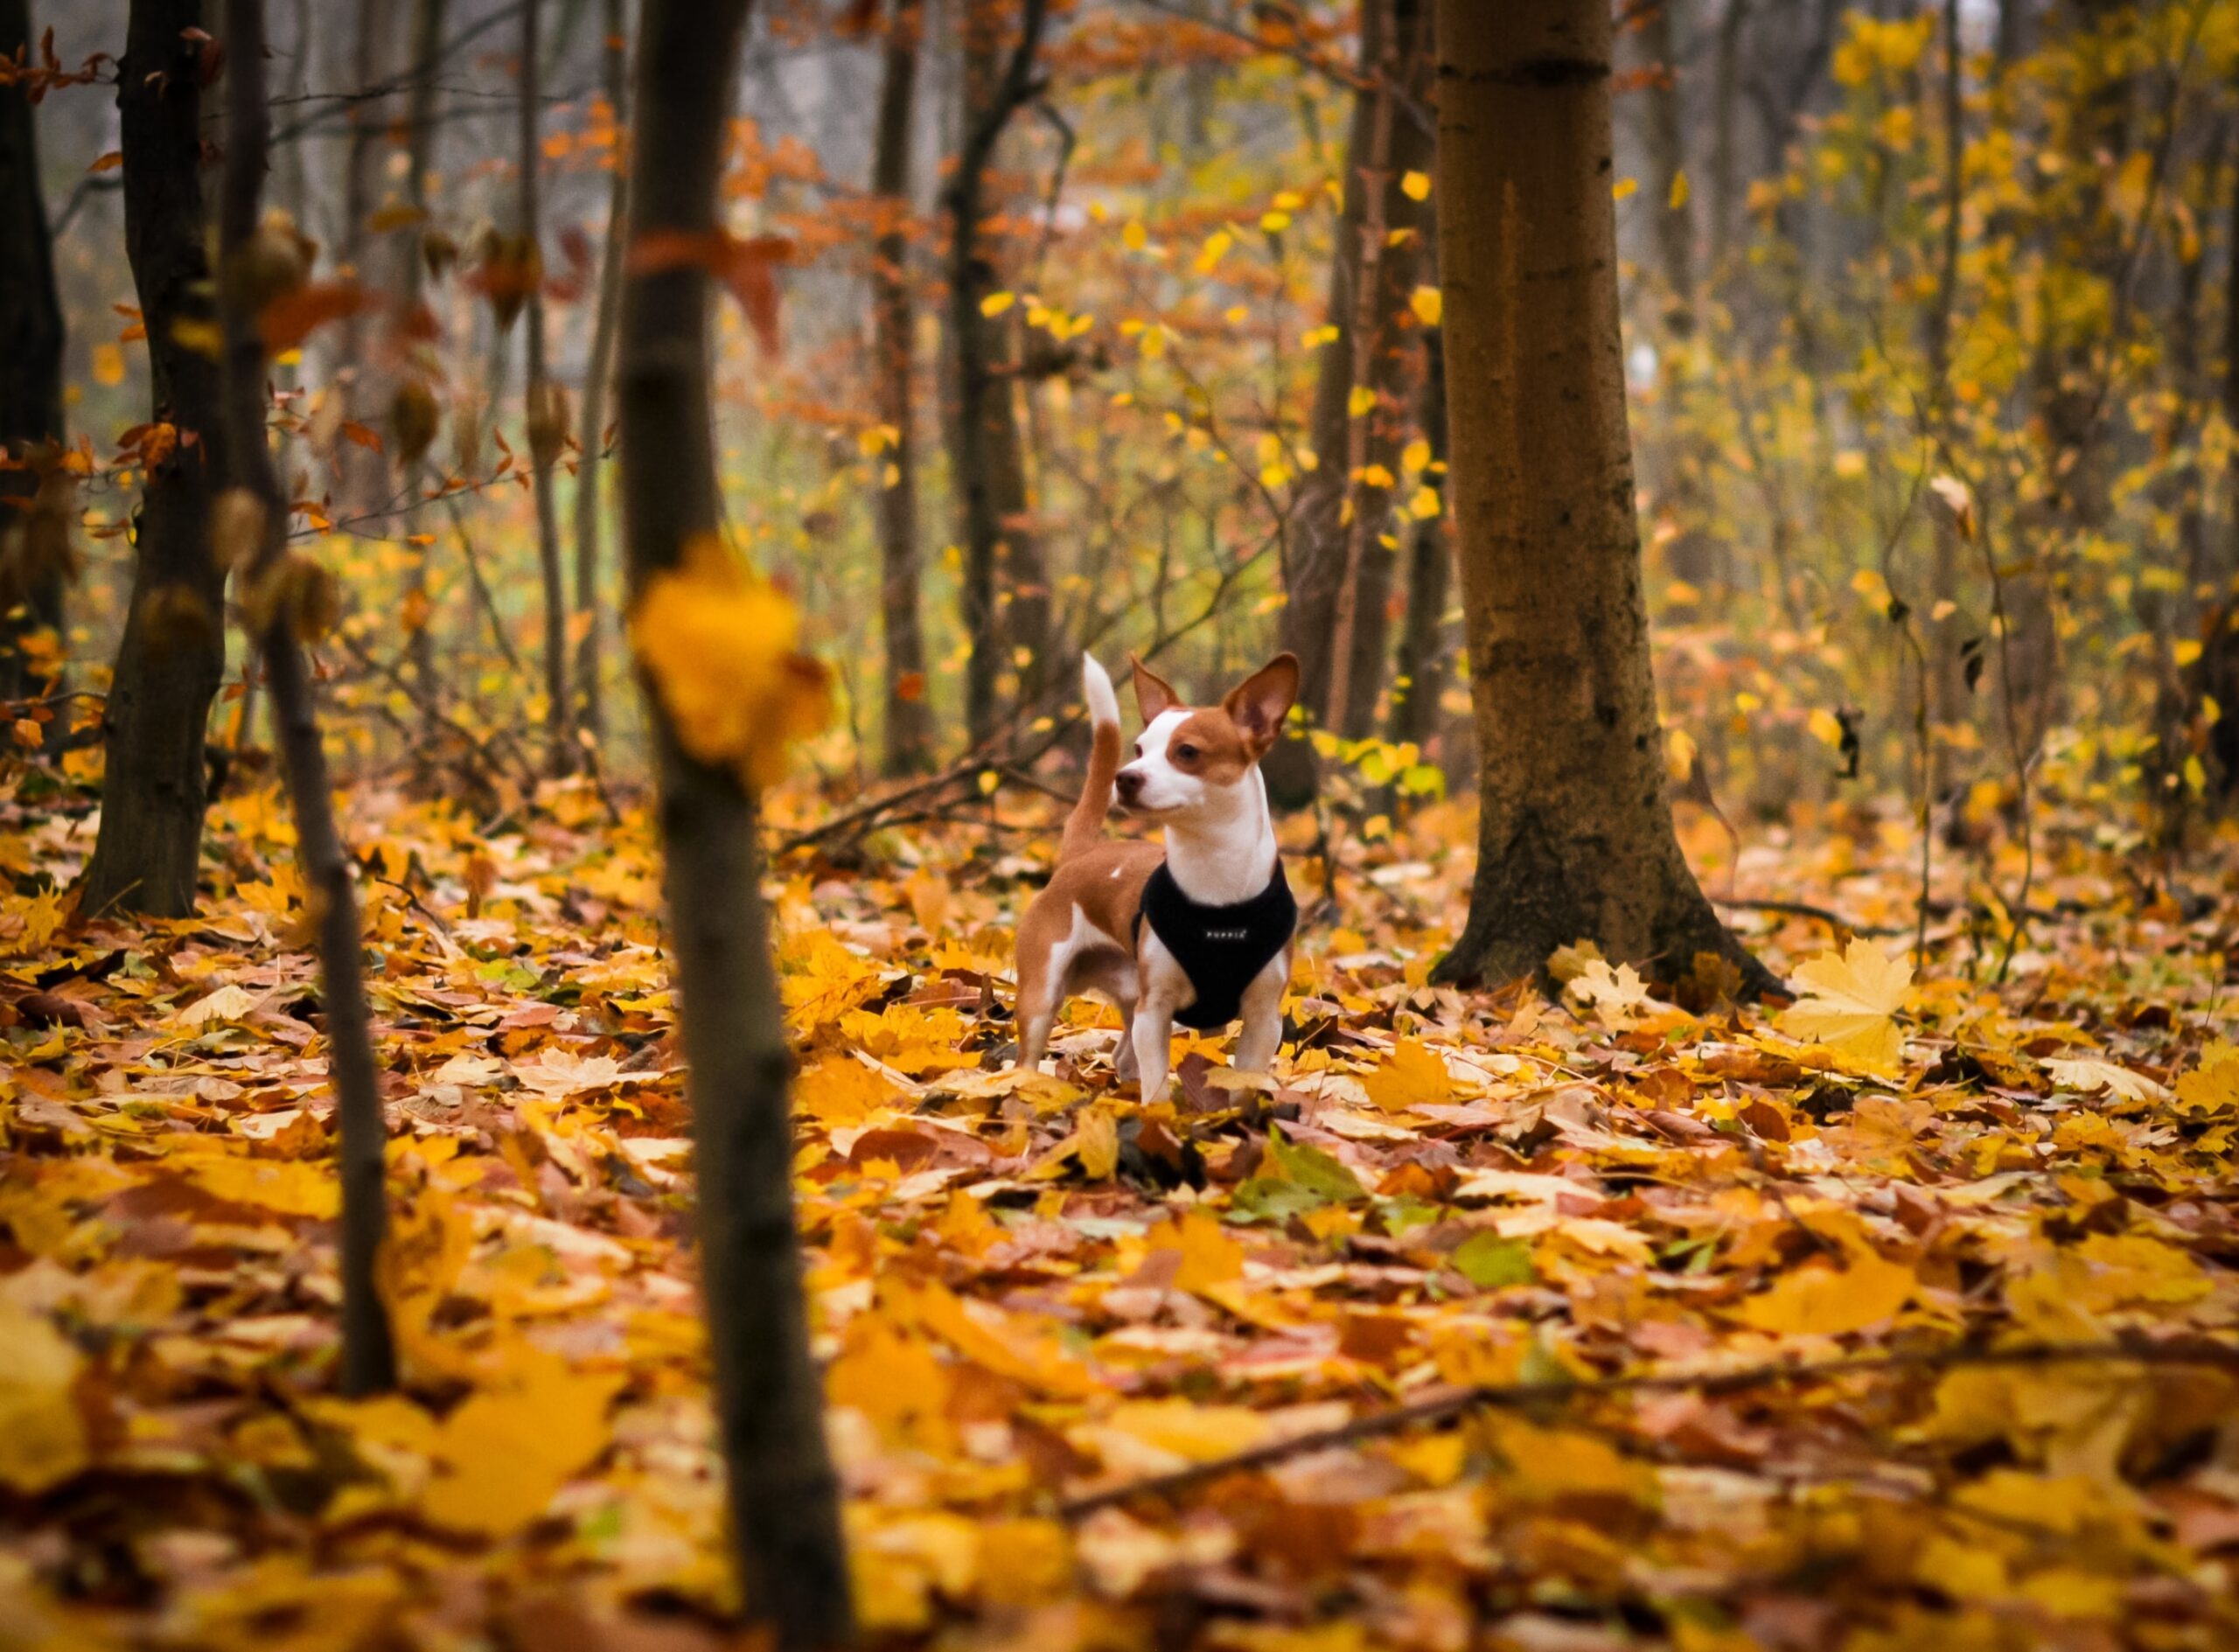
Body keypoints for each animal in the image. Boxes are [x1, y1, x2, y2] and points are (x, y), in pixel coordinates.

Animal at [1012, 649, 1308, 1101]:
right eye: (1138, 748)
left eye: (1186, 751)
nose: (1125, 776)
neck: (1214, 886)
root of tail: (1079, 856)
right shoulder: (1155, 1011)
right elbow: (1157, 1088)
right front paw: (1158, 1112)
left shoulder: (1263, 1020)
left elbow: (1243, 1082)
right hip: (1043, 994)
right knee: (1028, 1057)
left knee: (1122, 1057)